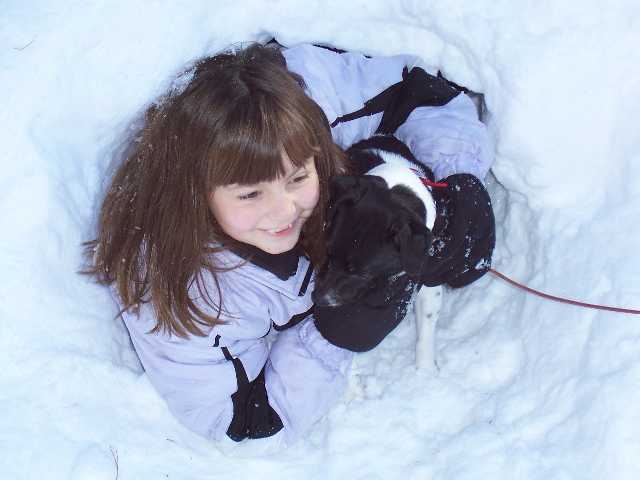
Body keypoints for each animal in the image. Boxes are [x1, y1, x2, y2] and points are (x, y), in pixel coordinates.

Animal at [312, 136, 442, 372]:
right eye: (329, 254)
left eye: (361, 274)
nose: (317, 299)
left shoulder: (429, 274)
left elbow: (427, 323)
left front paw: (425, 370)